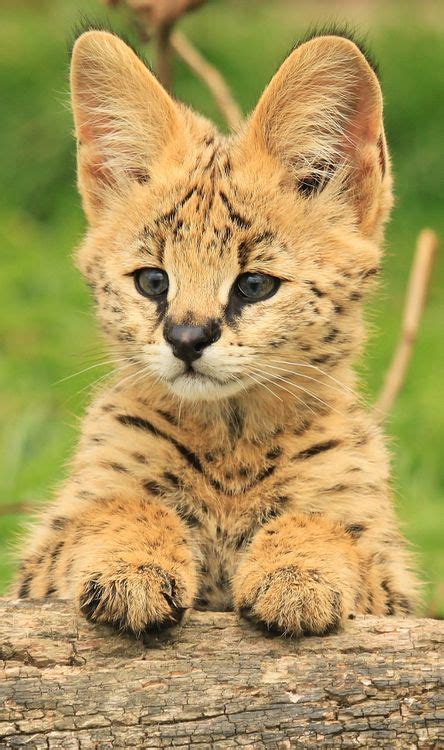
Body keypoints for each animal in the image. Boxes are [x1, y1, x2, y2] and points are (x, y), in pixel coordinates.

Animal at [15, 29, 418, 636]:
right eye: (153, 280)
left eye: (253, 285)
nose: (185, 339)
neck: (231, 450)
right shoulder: (39, 562)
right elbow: (119, 507)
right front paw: (132, 572)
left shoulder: (393, 584)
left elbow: (325, 527)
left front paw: (297, 577)